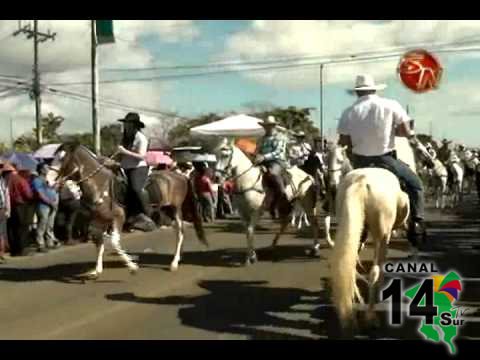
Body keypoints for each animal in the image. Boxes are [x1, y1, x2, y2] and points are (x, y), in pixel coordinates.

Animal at [51, 142, 207, 278]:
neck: (99, 185)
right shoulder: (99, 220)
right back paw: (178, 257)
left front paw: (132, 267)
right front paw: (96, 270)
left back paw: (174, 263)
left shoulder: (118, 217)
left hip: (175, 209)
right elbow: (98, 241)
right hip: (167, 210)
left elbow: (114, 242)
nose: (49, 181)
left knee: (180, 232)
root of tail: (181, 176)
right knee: (177, 231)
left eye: (62, 158)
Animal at [330, 168, 408, 332]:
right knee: (374, 271)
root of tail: (362, 181)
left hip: (353, 226)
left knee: (349, 266)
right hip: (381, 234)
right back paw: (371, 316)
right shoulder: (385, 236)